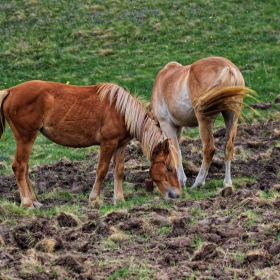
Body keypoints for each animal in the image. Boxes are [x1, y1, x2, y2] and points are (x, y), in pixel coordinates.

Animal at [0, 80, 182, 208]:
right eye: (169, 168)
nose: (178, 195)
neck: (122, 111)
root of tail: (10, 91)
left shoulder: (121, 145)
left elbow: (119, 171)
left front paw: (119, 199)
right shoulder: (108, 143)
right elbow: (102, 170)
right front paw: (94, 199)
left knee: (25, 169)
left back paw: (35, 201)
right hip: (25, 138)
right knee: (19, 167)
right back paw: (27, 203)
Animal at [149, 56, 254, 189]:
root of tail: (228, 68)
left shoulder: (166, 124)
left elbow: (175, 151)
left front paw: (181, 181)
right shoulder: (178, 127)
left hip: (204, 120)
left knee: (209, 150)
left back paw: (198, 183)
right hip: (231, 117)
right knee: (228, 148)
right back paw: (227, 183)